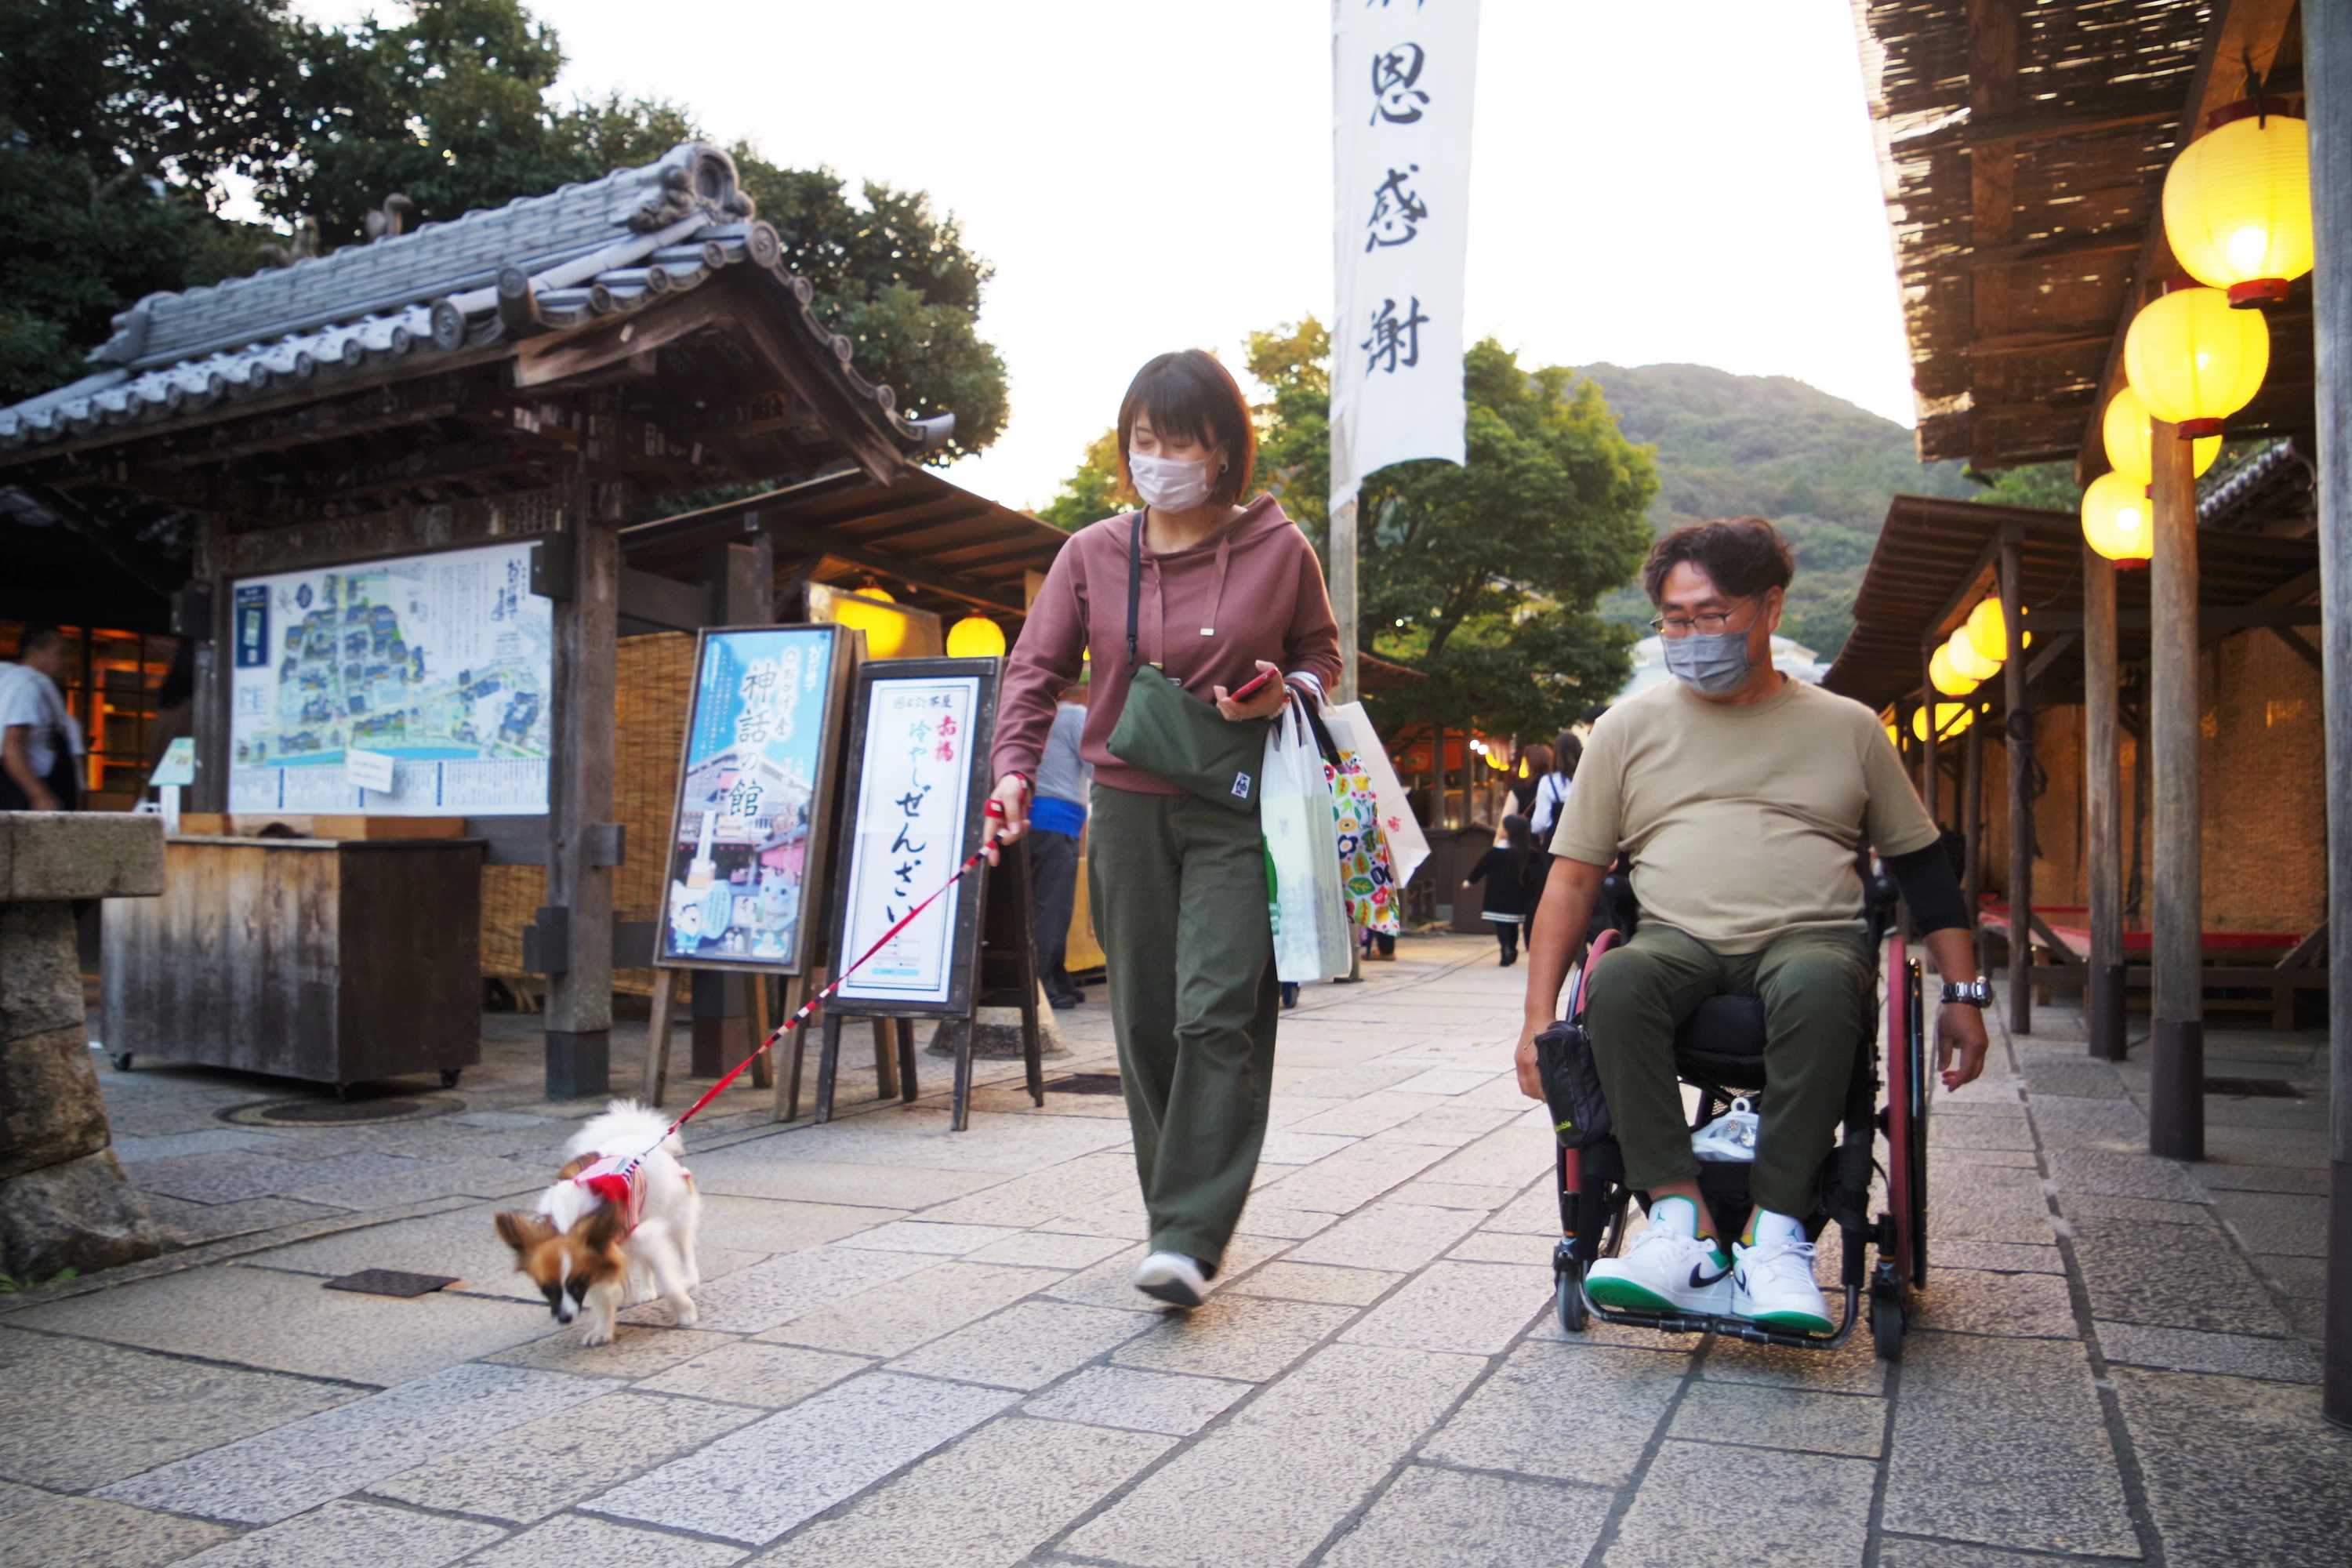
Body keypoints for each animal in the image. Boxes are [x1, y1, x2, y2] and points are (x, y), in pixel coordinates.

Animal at [494, 1100, 696, 1345]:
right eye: (546, 1289)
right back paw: (647, 1291)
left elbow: (668, 1281)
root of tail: (637, 1137)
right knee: (645, 1263)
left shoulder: (636, 1240)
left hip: (675, 1217)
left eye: (578, 1284)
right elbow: (602, 1300)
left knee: (684, 1248)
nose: (564, 1318)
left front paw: (685, 1312)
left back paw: (690, 1279)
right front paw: (603, 1330)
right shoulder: (601, 1258)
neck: (569, 1223)